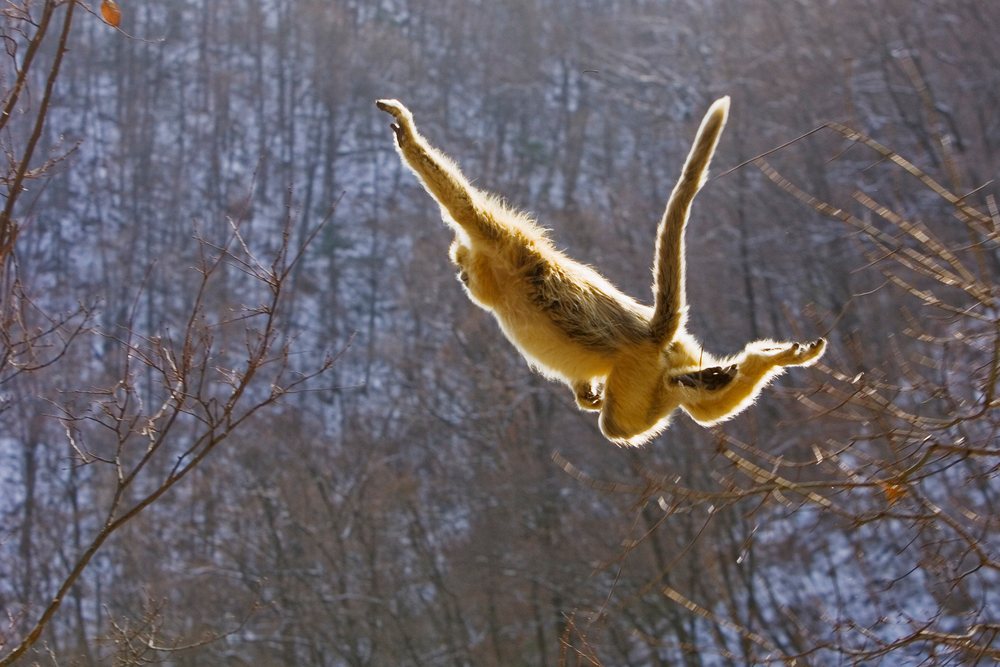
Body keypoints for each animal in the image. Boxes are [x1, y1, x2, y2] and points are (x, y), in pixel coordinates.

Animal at [376, 97, 825, 446]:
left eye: (463, 268)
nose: (462, 279)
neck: (505, 285)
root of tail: (651, 333)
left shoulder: (506, 246)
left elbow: (461, 205)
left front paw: (408, 134)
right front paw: (584, 394)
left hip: (636, 371)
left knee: (622, 423)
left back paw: (701, 382)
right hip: (675, 352)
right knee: (696, 407)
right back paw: (758, 362)